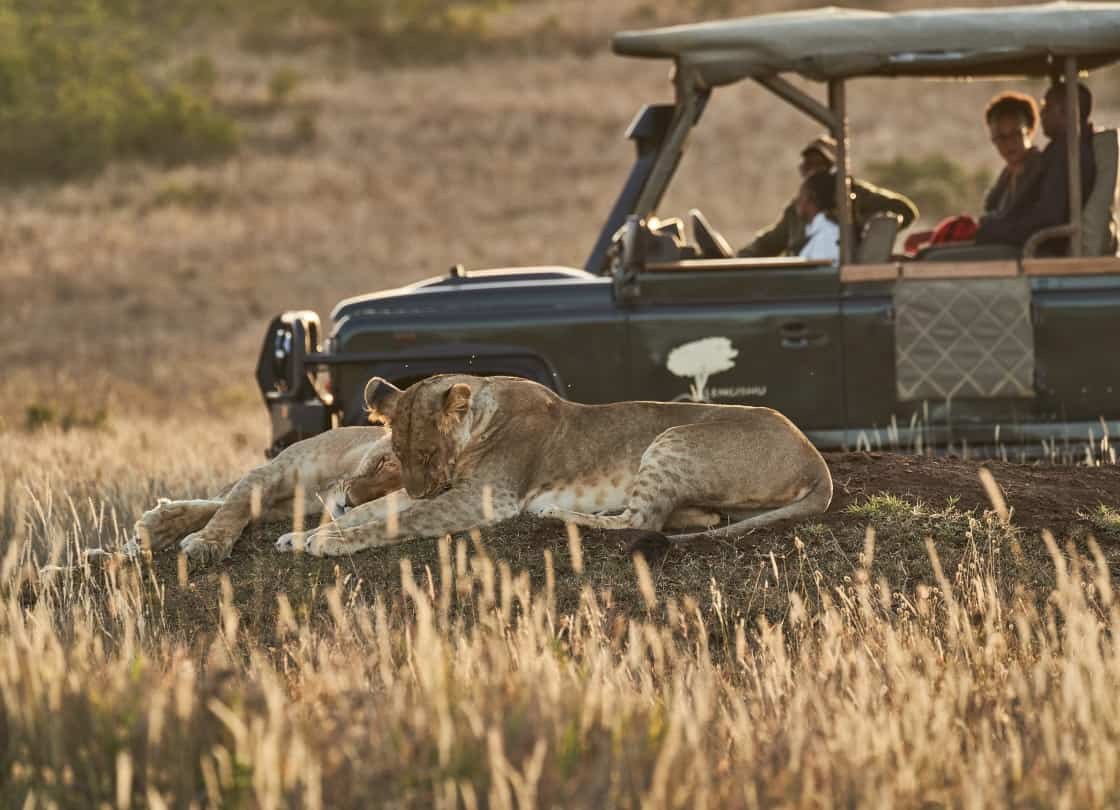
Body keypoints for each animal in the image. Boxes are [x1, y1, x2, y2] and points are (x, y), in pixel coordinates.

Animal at [133, 426, 401, 565]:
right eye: (381, 462)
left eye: (395, 493)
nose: (349, 504)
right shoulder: (273, 472)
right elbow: (233, 506)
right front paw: (206, 543)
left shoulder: (290, 505)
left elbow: (228, 507)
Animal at [275, 374, 832, 557]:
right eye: (396, 454)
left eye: (427, 454)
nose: (419, 486)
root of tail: (816, 457)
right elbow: (379, 509)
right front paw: (303, 534)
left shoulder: (486, 498)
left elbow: (398, 519)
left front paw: (329, 541)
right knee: (693, 516)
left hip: (672, 439)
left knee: (641, 520)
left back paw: (553, 515)